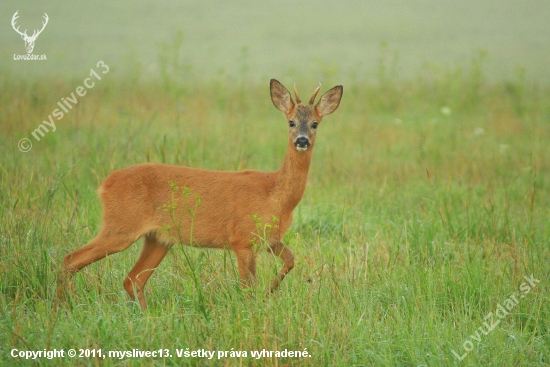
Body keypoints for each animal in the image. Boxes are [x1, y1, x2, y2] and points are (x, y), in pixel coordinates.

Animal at [55, 80, 340, 310]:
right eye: (291, 121)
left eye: (315, 123)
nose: (301, 140)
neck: (275, 194)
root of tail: (105, 185)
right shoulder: (241, 239)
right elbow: (247, 289)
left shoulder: (269, 239)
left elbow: (291, 260)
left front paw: (269, 293)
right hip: (121, 227)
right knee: (71, 259)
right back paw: (63, 308)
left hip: (158, 239)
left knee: (132, 279)